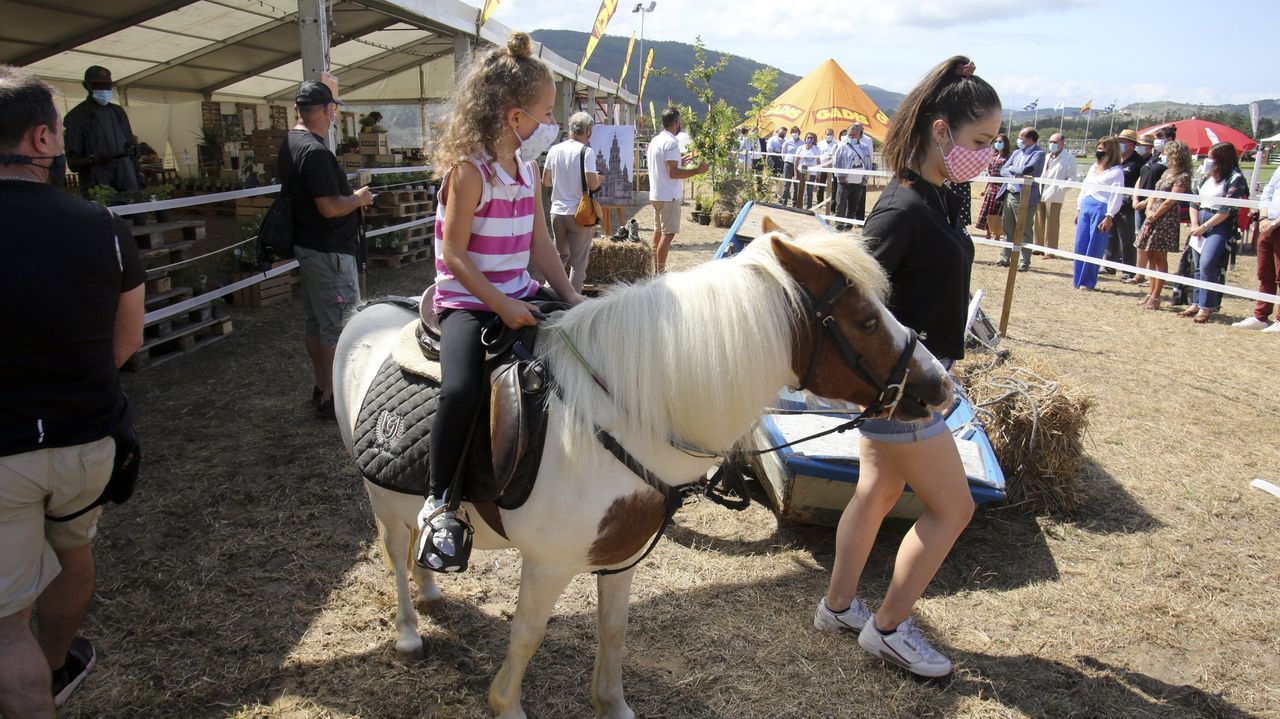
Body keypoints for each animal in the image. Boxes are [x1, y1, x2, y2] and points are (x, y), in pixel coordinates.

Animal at [332, 223, 952, 716]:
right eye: (866, 320)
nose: (940, 387)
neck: (621, 412)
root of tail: (370, 311)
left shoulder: (623, 551)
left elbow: (615, 628)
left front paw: (611, 704)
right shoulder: (549, 563)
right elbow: (527, 635)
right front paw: (505, 704)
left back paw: (432, 588)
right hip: (377, 496)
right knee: (395, 549)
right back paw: (408, 633)